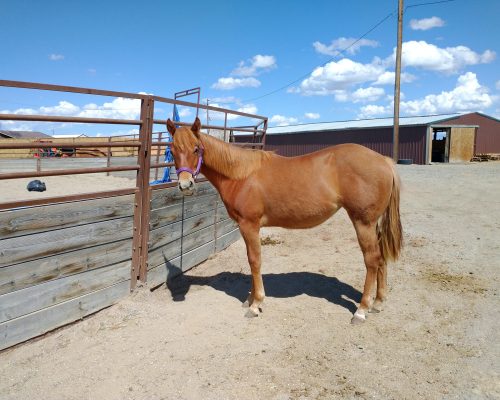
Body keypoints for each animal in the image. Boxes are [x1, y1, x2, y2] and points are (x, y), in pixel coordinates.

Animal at [168, 117, 402, 324]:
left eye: (196, 148)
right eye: (172, 150)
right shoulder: (247, 228)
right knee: (381, 258)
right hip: (373, 224)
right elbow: (251, 260)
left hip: (363, 223)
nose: (185, 185)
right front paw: (250, 299)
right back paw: (378, 302)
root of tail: (384, 161)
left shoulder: (249, 225)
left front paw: (256, 304)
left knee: (372, 260)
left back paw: (362, 310)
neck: (242, 175)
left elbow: (254, 260)